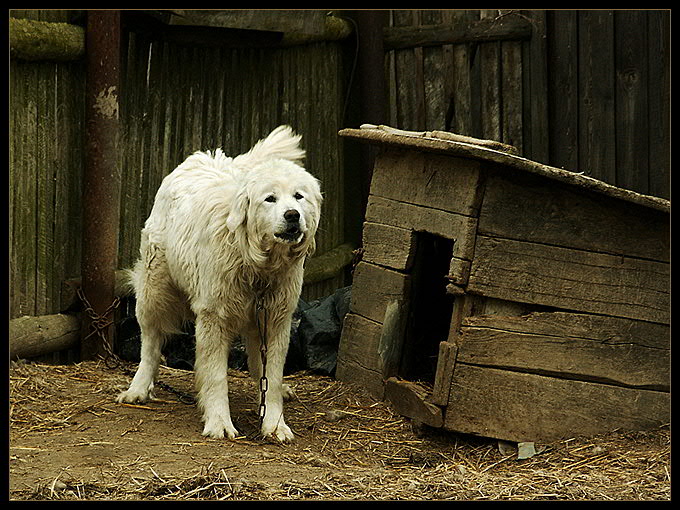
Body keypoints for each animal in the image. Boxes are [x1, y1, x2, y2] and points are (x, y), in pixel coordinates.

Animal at [117, 124, 322, 442]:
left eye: (299, 197)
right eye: (270, 198)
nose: (292, 216)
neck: (257, 264)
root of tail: (204, 156)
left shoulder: (275, 320)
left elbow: (272, 378)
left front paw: (275, 424)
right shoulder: (215, 318)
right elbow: (216, 377)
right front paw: (219, 422)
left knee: (258, 366)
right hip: (154, 290)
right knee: (150, 344)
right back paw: (139, 388)